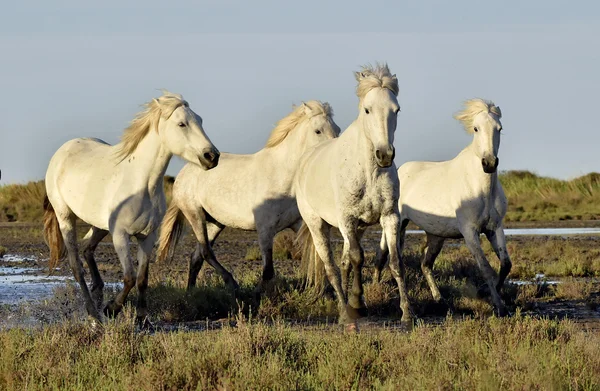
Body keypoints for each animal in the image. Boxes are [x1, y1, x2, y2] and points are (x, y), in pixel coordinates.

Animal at [43, 92, 219, 322]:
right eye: (182, 123)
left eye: (200, 120)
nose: (212, 156)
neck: (143, 184)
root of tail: (62, 151)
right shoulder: (120, 235)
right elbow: (129, 277)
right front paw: (112, 309)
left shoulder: (147, 236)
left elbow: (142, 278)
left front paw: (142, 318)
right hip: (66, 218)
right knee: (76, 266)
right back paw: (93, 313)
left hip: (100, 226)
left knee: (87, 249)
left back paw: (98, 293)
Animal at [157, 101, 340, 290]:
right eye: (318, 131)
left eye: (338, 129)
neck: (281, 175)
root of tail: (184, 172)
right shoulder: (265, 230)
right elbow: (268, 272)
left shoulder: (298, 224)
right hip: (195, 215)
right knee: (206, 252)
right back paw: (231, 283)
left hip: (216, 223)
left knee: (196, 257)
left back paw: (191, 292)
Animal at [296, 65, 412, 328]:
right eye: (367, 109)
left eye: (397, 109)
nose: (385, 155)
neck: (368, 171)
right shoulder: (347, 219)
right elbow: (358, 258)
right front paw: (354, 308)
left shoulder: (389, 217)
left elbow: (395, 262)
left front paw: (407, 313)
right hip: (318, 225)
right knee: (330, 266)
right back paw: (344, 313)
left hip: (357, 227)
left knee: (344, 261)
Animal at [376, 100, 510, 316]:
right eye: (476, 128)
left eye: (499, 128)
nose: (489, 163)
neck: (482, 189)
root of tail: (400, 170)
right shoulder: (470, 232)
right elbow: (485, 268)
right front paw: (498, 305)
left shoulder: (494, 228)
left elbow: (505, 265)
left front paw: (490, 294)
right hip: (397, 223)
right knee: (382, 255)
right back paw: (376, 286)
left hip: (436, 236)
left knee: (425, 264)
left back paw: (439, 298)